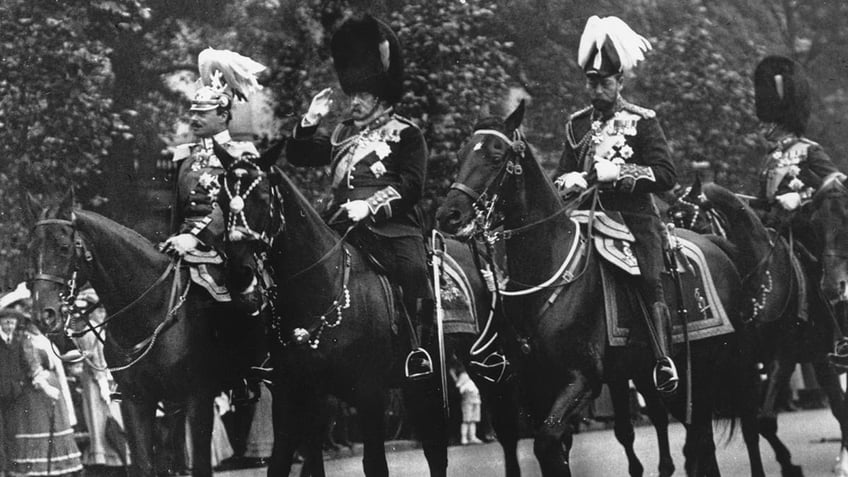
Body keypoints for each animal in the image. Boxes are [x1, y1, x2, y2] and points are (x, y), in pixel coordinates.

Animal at [27, 191, 258, 476]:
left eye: (63, 247)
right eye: (30, 249)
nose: (43, 315)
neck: (153, 310)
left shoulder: (199, 398)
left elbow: (200, 464)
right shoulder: (136, 402)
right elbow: (147, 463)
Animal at [212, 143, 524, 474]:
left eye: (261, 197)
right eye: (221, 200)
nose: (239, 274)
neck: (322, 285)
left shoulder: (369, 392)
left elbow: (374, 463)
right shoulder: (295, 395)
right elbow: (287, 463)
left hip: (486, 363)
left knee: (505, 430)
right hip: (425, 383)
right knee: (436, 448)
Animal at [434, 103, 760, 476]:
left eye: (496, 153)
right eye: (461, 154)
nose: (448, 215)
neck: (546, 272)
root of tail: (715, 245)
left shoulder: (583, 379)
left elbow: (548, 444)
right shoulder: (536, 385)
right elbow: (554, 450)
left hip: (720, 365)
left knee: (733, 428)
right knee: (698, 438)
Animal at [668, 176, 848, 476]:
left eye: (696, 223)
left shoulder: (782, 356)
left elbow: (762, 421)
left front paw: (788, 464)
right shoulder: (747, 364)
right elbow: (752, 422)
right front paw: (788, 462)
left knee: (837, 403)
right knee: (837, 401)